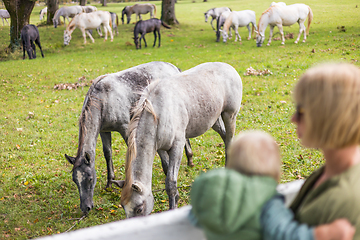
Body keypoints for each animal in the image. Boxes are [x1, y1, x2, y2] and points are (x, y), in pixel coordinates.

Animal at [64, 61, 194, 214]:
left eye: (90, 179)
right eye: (75, 180)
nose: (86, 208)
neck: (103, 99)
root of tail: (173, 67)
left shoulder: (125, 127)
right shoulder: (104, 131)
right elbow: (107, 153)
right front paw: (110, 182)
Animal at [119, 62, 243, 218]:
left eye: (139, 209)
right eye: (123, 207)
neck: (158, 113)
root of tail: (229, 67)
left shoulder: (177, 147)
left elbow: (170, 182)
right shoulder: (159, 148)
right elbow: (167, 170)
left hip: (229, 115)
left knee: (229, 141)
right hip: (214, 120)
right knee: (225, 137)